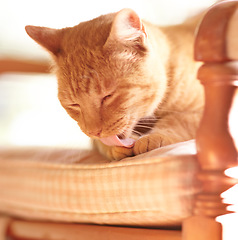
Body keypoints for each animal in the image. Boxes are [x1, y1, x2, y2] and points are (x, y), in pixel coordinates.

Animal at [26, 9, 205, 160]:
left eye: (108, 96)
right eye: (74, 104)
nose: (94, 131)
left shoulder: (201, 111)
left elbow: (178, 120)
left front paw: (156, 136)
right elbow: (98, 143)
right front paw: (110, 146)